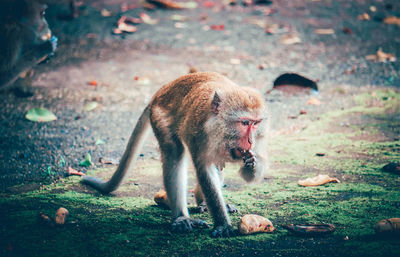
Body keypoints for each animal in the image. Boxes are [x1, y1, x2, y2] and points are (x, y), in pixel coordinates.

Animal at [81, 71, 268, 236]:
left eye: (256, 123)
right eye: (245, 123)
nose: (250, 140)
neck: (217, 126)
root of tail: (161, 91)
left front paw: (252, 163)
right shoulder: (198, 133)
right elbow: (204, 170)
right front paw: (222, 225)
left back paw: (203, 203)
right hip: (159, 117)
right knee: (174, 153)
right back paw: (181, 218)